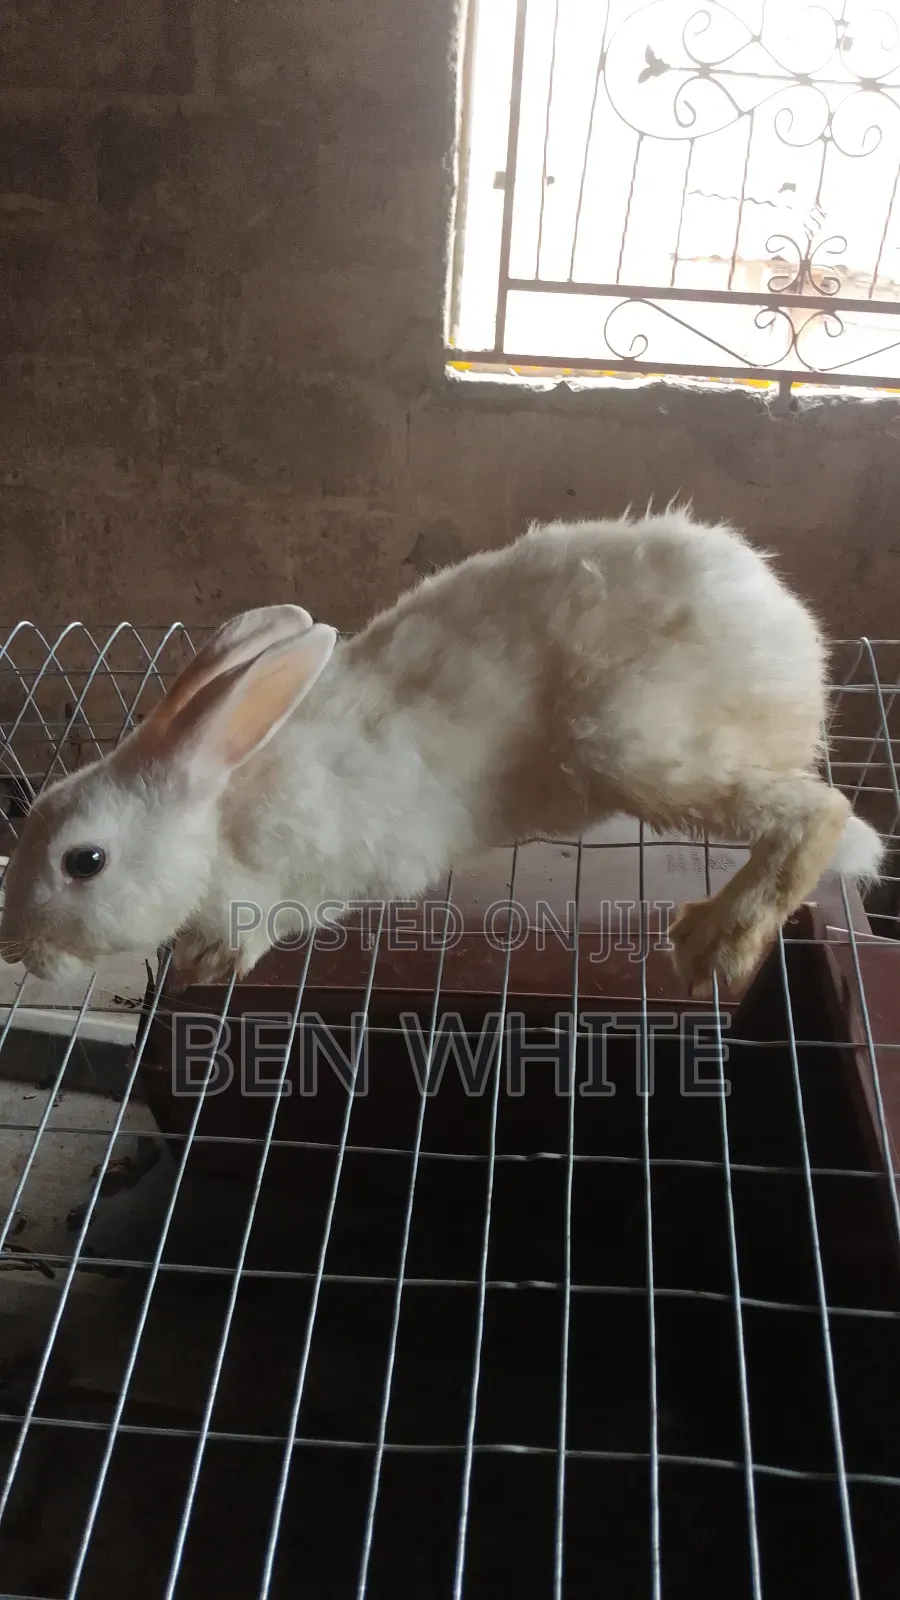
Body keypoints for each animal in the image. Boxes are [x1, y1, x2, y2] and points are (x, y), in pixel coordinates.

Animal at [0, 506, 883, 997]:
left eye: (84, 862)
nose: (17, 951)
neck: (214, 804)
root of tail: (796, 641)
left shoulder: (321, 869)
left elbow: (273, 915)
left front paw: (211, 957)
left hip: (632, 742)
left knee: (822, 809)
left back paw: (716, 943)